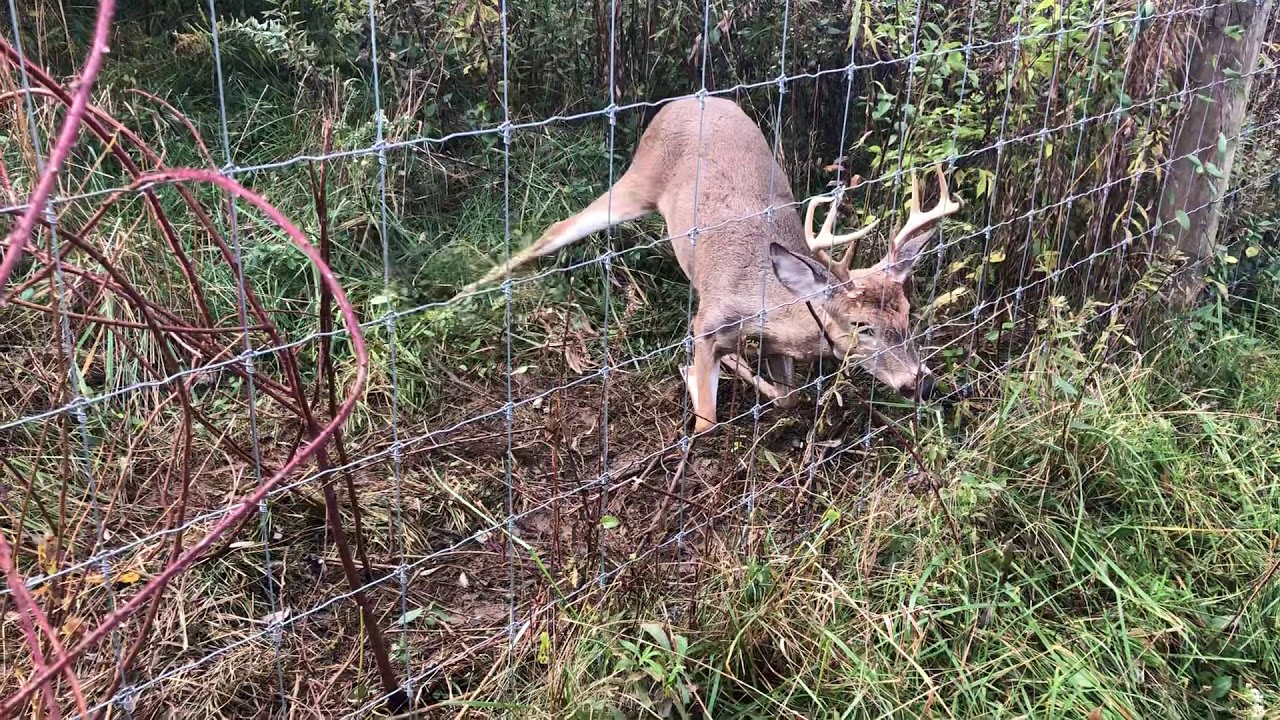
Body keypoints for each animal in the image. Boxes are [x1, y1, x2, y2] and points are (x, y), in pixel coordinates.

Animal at [456, 96, 962, 434]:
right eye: (861, 326)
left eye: (908, 314)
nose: (921, 384)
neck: (767, 305)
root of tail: (685, 100)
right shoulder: (707, 322)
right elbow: (706, 420)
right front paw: (693, 375)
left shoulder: (779, 347)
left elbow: (789, 398)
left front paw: (742, 367)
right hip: (638, 178)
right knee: (555, 228)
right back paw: (462, 293)